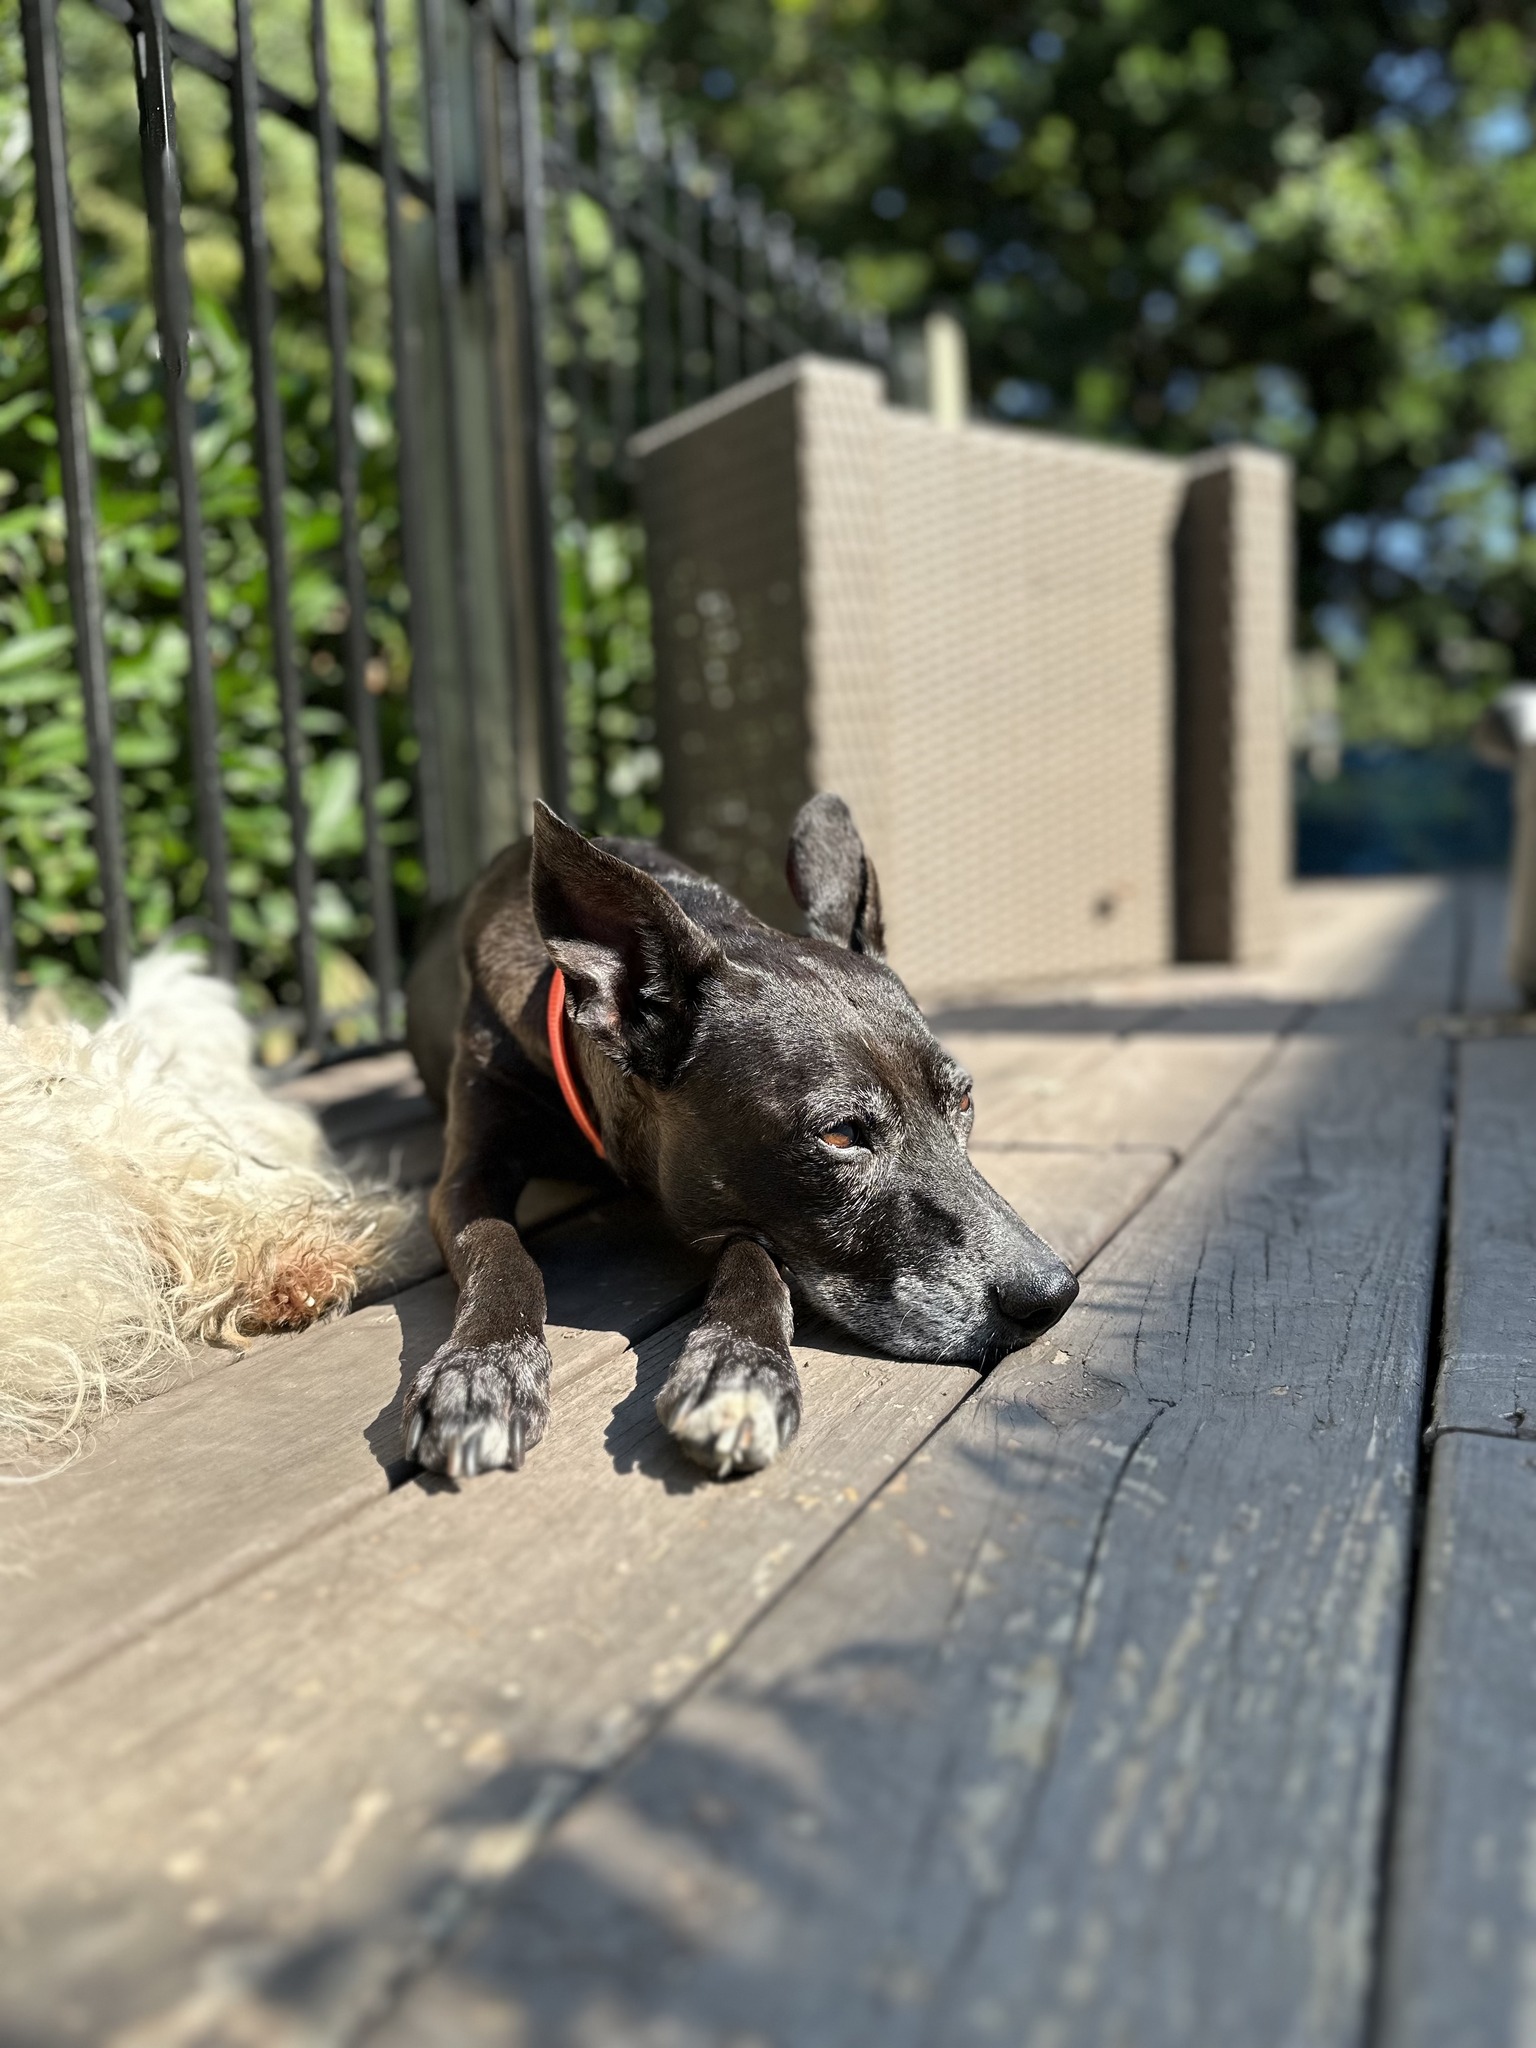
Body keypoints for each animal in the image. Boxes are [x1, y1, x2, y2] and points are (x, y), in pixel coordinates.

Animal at [405, 790, 1081, 1482]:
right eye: (841, 1135)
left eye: (963, 1100)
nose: (1052, 1295)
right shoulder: (468, 1174)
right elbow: (497, 1245)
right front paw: (483, 1368)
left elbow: (753, 1254)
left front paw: (737, 1366)